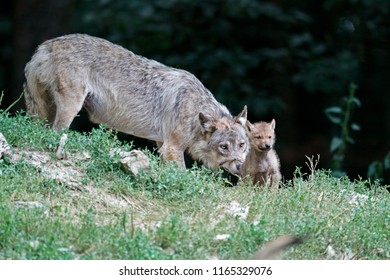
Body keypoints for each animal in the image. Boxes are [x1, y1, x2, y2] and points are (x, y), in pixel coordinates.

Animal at [24, 33, 248, 175]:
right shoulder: (172, 148)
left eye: (242, 145)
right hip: (70, 107)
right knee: (56, 132)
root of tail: (46, 45)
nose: (241, 167)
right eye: (224, 147)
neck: (195, 111)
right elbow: (182, 175)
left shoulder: (162, 145)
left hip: (43, 111)